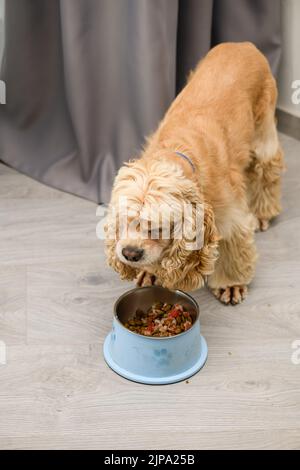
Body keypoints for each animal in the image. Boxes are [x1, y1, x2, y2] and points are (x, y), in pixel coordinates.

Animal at [105, 41, 284, 304]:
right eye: (122, 219)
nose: (130, 253)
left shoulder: (230, 218)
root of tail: (244, 44)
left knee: (267, 167)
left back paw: (262, 213)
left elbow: (233, 247)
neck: (178, 150)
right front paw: (150, 272)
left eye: (158, 226)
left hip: (263, 129)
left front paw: (231, 285)